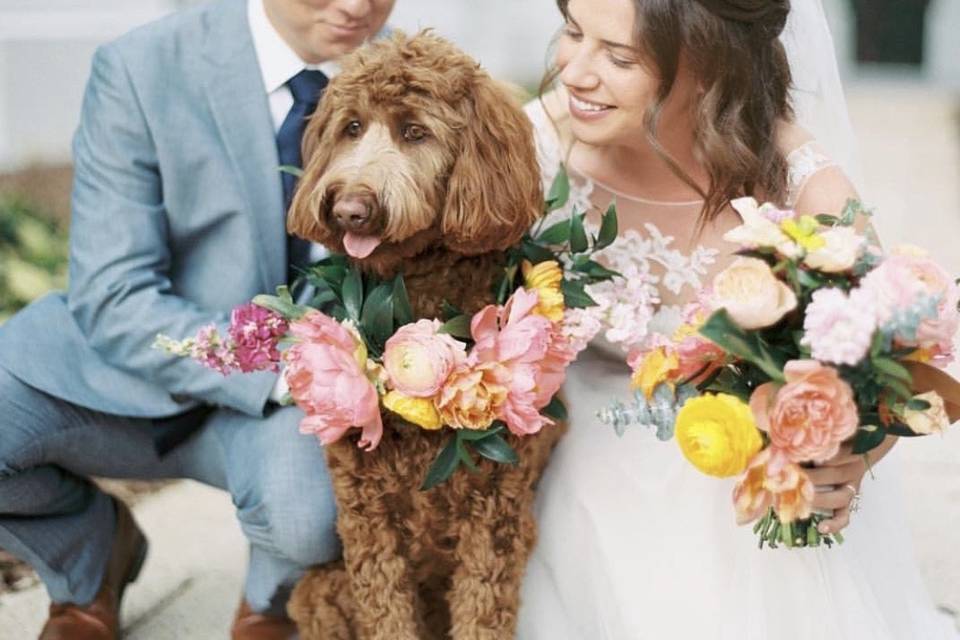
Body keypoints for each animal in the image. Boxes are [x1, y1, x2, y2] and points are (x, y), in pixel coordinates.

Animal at [284, 32, 568, 640]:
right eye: (351, 127)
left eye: (415, 132)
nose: (349, 208)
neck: (414, 302)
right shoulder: (367, 520)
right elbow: (386, 612)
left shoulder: (495, 518)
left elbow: (483, 613)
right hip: (318, 594)